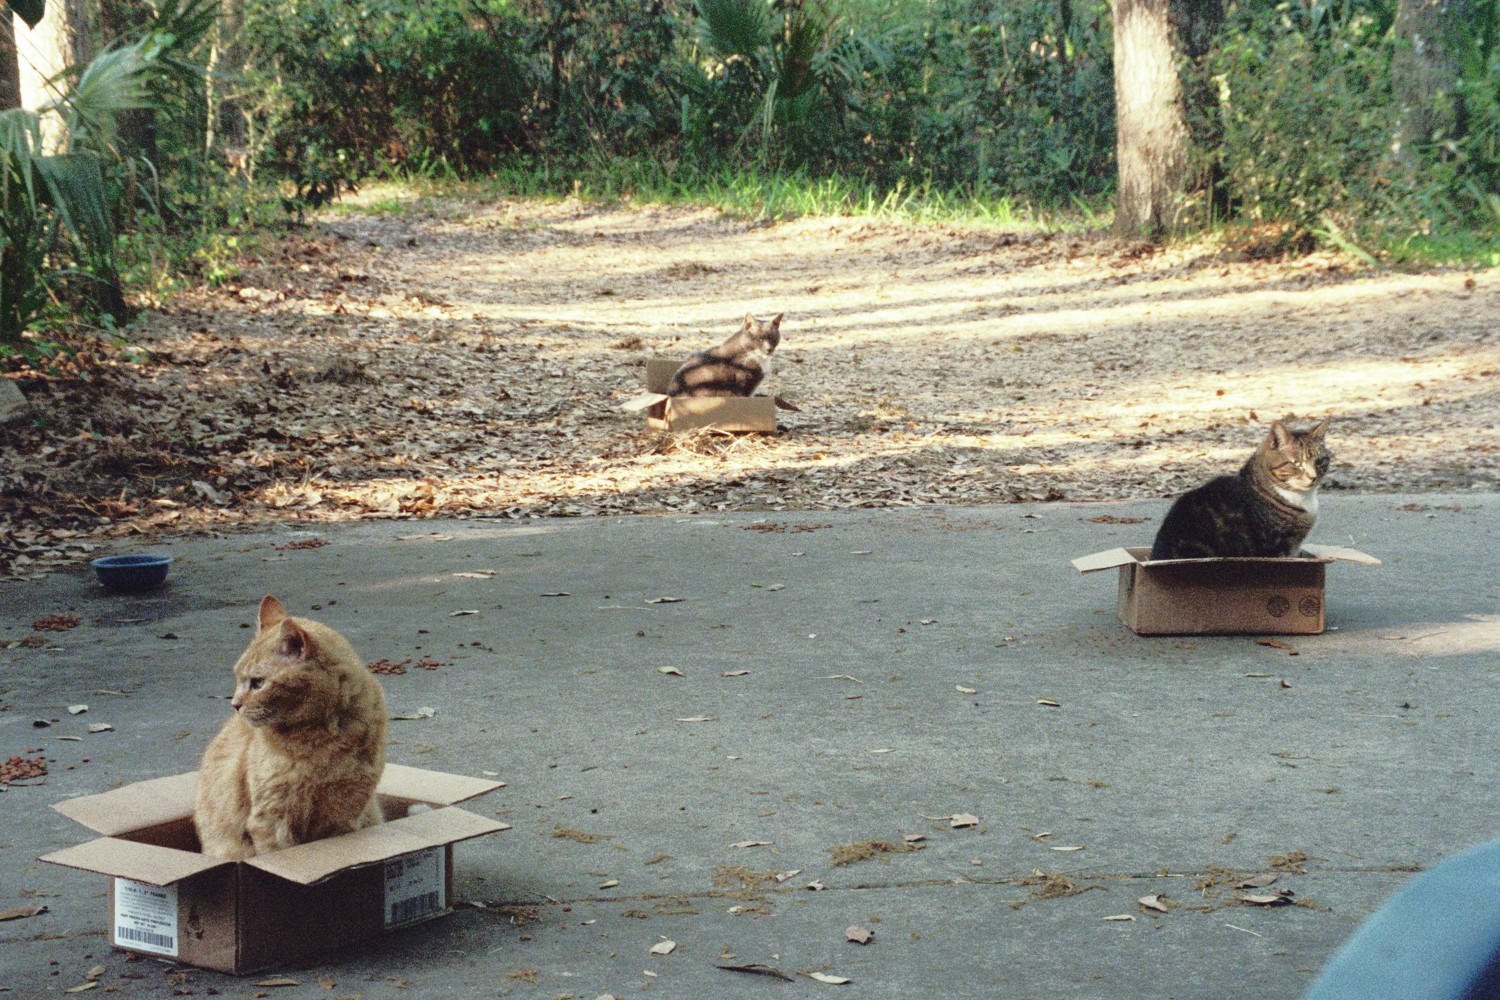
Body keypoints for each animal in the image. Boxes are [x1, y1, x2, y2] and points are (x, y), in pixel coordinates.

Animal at [193, 593, 390, 863]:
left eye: (258, 683)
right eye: (238, 678)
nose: (235, 704)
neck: (321, 741)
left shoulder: (344, 815)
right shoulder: (272, 819)